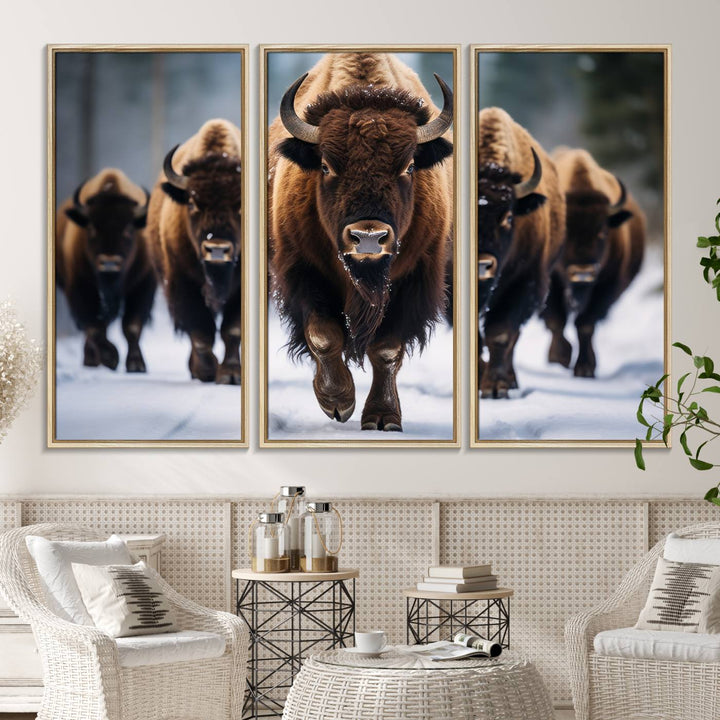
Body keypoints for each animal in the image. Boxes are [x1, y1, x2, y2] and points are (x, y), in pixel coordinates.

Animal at [57, 168, 155, 372]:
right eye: (92, 228)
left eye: (129, 229)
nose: (109, 263)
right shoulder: (80, 288)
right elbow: (94, 327)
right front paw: (111, 357)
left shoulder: (143, 285)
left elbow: (132, 326)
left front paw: (136, 365)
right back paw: (91, 360)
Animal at [148, 119, 243, 386]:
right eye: (192, 203)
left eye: (240, 205)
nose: (217, 249)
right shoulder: (183, 283)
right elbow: (201, 330)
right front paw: (207, 371)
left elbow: (232, 330)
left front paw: (231, 374)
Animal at [268, 54, 452, 434]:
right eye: (325, 166)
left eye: (409, 166)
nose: (368, 237)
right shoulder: (303, 272)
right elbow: (323, 336)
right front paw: (338, 402)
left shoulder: (412, 279)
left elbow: (386, 350)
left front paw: (383, 417)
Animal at [478, 107, 568, 400]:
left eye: (508, 217)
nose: (482, 265)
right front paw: (483, 380)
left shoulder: (522, 284)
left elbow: (501, 334)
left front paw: (496, 387)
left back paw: (510, 379)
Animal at [540, 149, 648, 380]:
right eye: (565, 232)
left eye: (603, 231)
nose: (582, 273)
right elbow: (556, 320)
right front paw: (560, 358)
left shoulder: (605, 287)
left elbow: (585, 325)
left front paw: (585, 368)